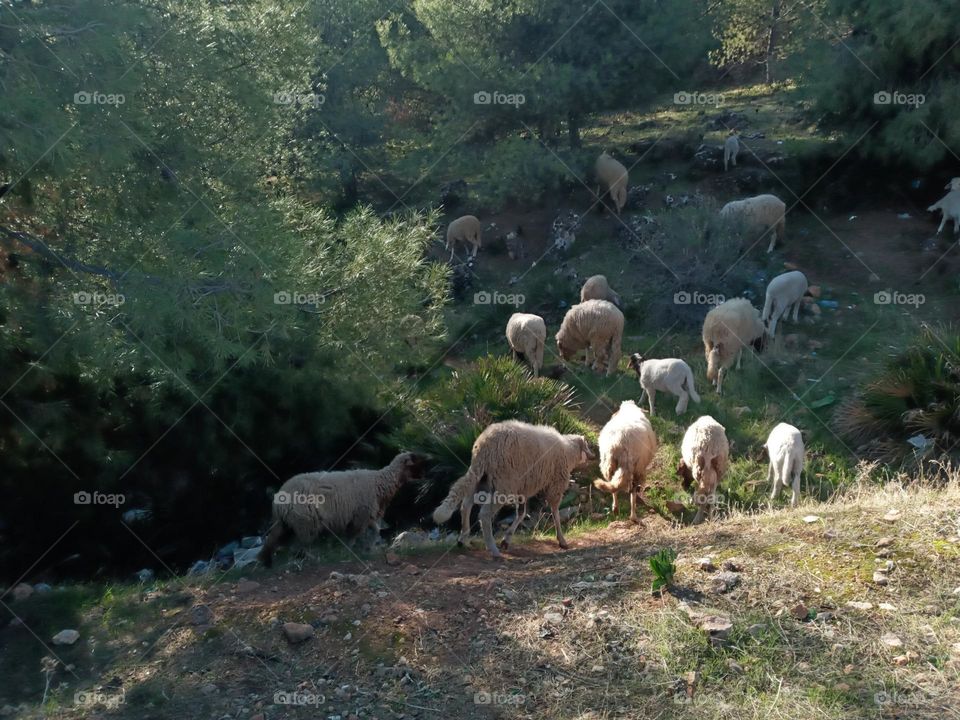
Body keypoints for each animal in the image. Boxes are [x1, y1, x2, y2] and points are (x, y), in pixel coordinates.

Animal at [259, 452, 422, 567]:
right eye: (415, 464)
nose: (424, 477)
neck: (379, 481)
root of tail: (279, 499)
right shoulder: (360, 516)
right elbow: (352, 537)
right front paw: (349, 552)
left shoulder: (367, 514)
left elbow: (375, 530)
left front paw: (369, 548)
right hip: (305, 522)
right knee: (299, 546)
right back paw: (312, 559)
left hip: (286, 523)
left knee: (275, 541)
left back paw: (266, 562)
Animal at [432, 420, 593, 558]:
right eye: (587, 445)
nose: (593, 456)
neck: (568, 451)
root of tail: (484, 446)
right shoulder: (556, 485)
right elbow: (555, 513)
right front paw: (562, 540)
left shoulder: (524, 489)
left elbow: (521, 513)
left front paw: (506, 540)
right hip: (504, 484)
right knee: (484, 513)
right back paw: (493, 549)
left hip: (482, 478)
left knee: (466, 505)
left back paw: (463, 539)